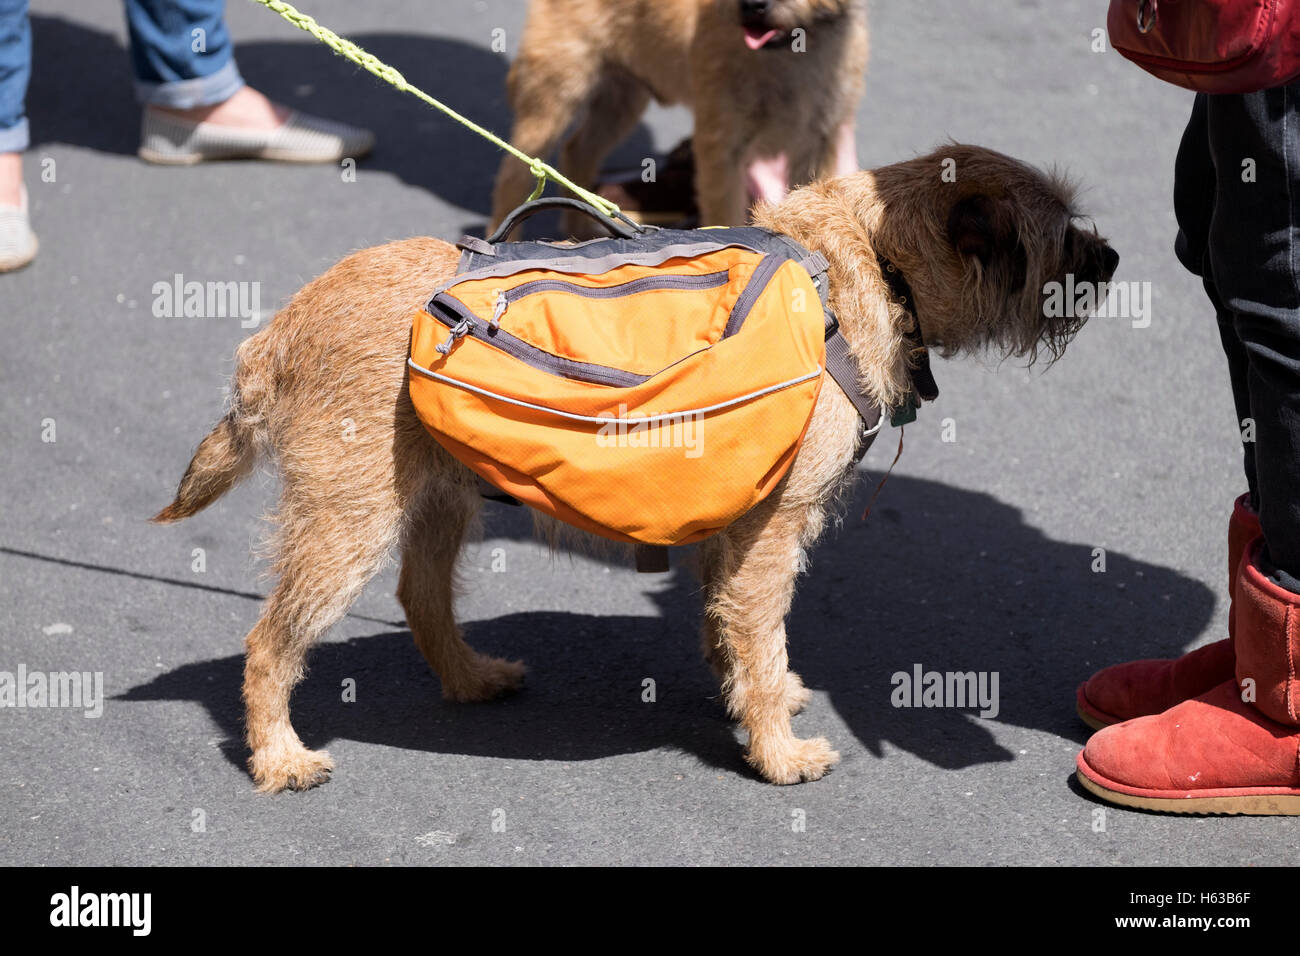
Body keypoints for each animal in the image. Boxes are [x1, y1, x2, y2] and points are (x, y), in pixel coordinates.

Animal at [157, 145, 1118, 790]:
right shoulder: (775, 527)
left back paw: (470, 678)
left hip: (437, 498)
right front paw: (776, 750)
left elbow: (731, 623)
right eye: (1058, 233)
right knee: (269, 643)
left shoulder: (738, 519)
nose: (1109, 259)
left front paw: (752, 699)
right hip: (347, 521)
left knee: (421, 595)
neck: (868, 266)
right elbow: (760, 627)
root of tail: (280, 329)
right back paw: (279, 757)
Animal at [491, 0, 868, 231]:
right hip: (554, 94)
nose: (751, 4)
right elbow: (726, 214)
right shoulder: (722, 150)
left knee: (578, 151)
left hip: (621, 100)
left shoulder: (819, 144)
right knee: (515, 174)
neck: (788, 52)